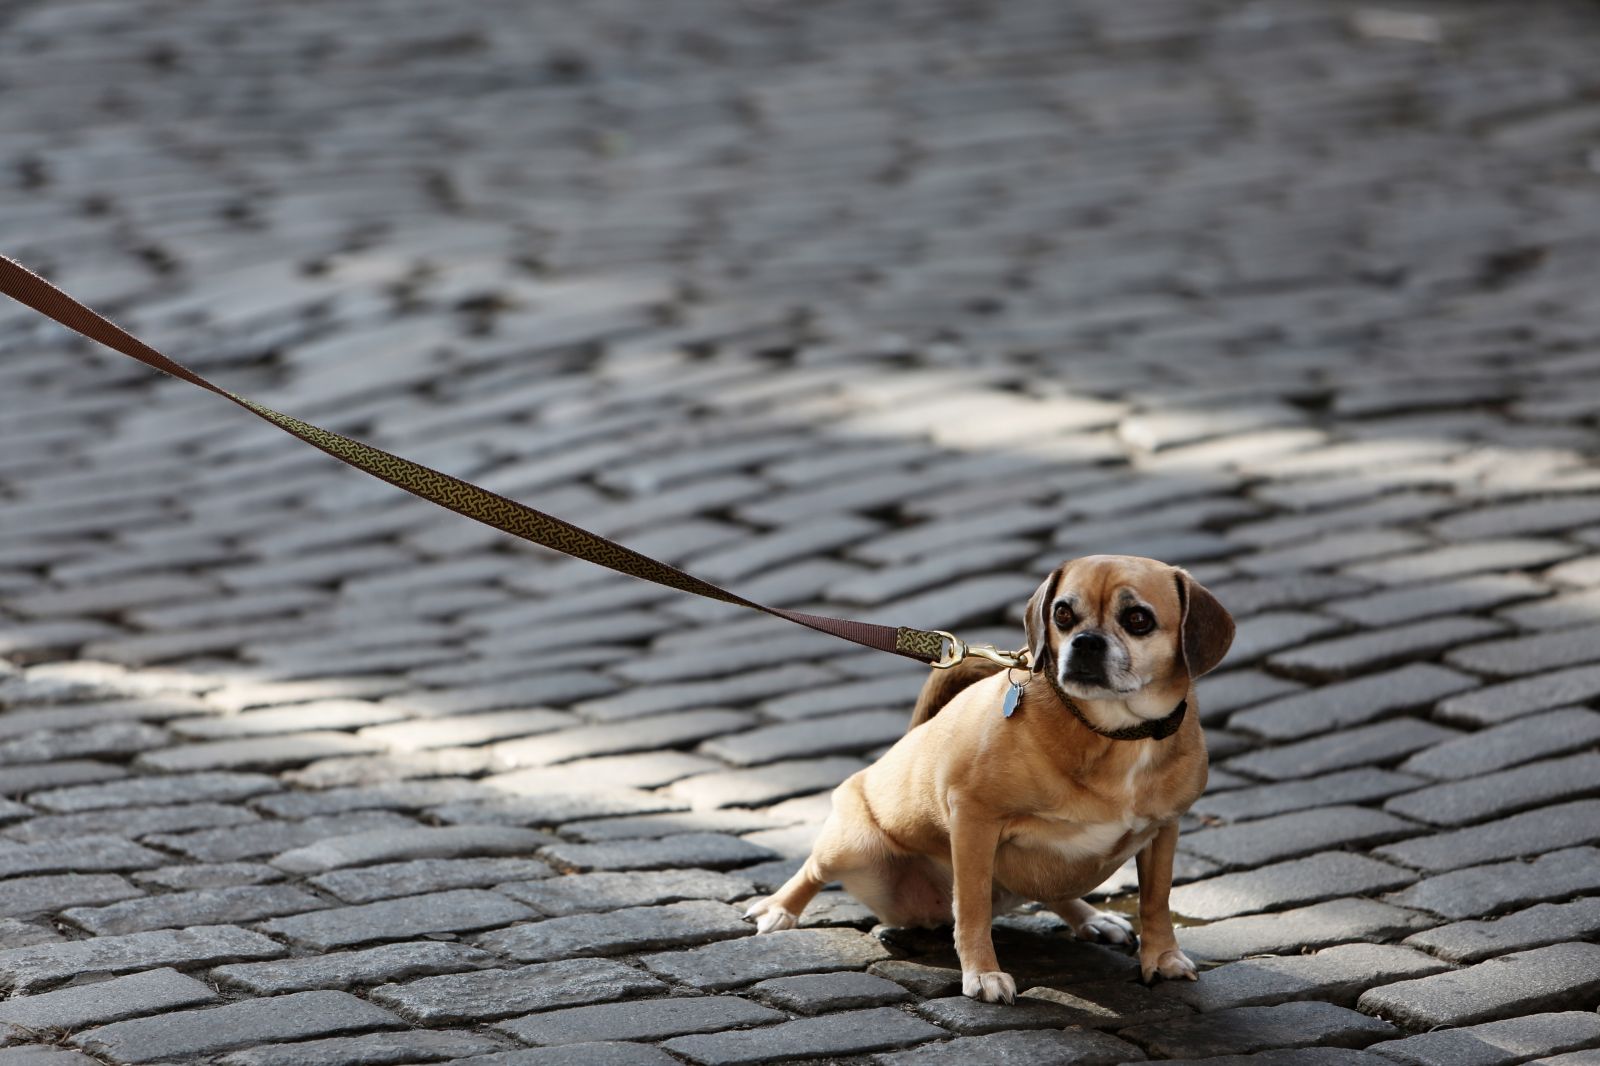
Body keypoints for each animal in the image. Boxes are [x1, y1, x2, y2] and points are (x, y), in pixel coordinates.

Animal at [745, 557, 1235, 998]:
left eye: (1138, 619)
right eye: (1063, 614)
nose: (1085, 642)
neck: (1113, 733)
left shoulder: (1164, 830)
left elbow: (1157, 900)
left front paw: (1163, 957)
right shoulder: (974, 819)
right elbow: (973, 905)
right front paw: (982, 973)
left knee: (1054, 890)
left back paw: (1093, 919)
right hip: (852, 847)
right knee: (812, 869)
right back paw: (778, 910)